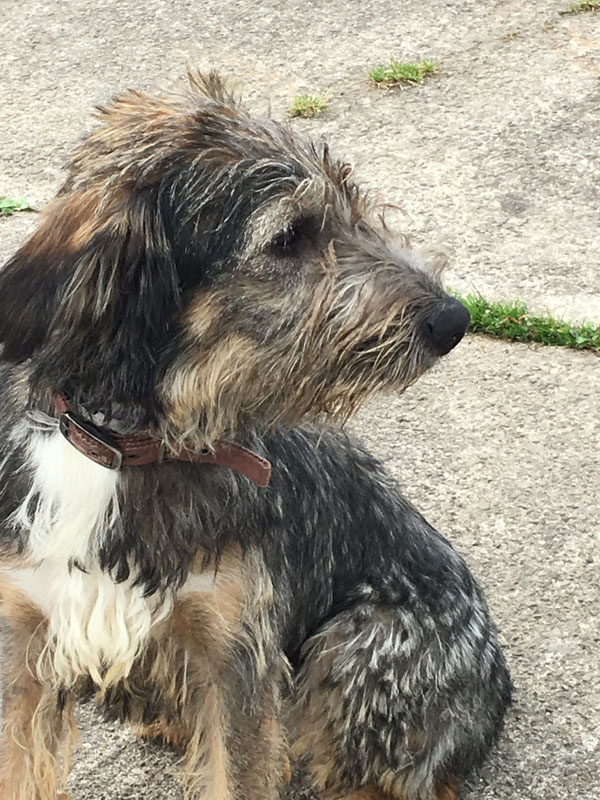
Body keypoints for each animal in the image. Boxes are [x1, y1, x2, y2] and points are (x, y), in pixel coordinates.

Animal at [0, 72, 510, 796]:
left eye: (351, 201)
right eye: (290, 236)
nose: (453, 319)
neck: (126, 451)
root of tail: (498, 689)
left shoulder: (235, 650)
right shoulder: (24, 640)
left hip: (358, 645)